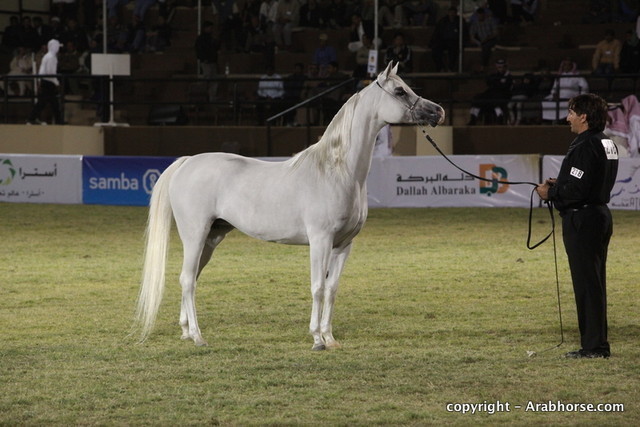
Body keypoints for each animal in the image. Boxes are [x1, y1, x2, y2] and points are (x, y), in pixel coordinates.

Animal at [134, 62, 445, 350]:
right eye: (400, 91)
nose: (438, 112)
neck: (337, 172)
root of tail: (187, 162)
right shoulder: (320, 240)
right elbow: (318, 287)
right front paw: (317, 339)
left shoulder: (344, 245)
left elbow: (332, 289)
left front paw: (330, 338)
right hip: (195, 235)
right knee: (188, 280)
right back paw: (199, 337)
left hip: (212, 237)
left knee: (190, 278)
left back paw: (187, 332)